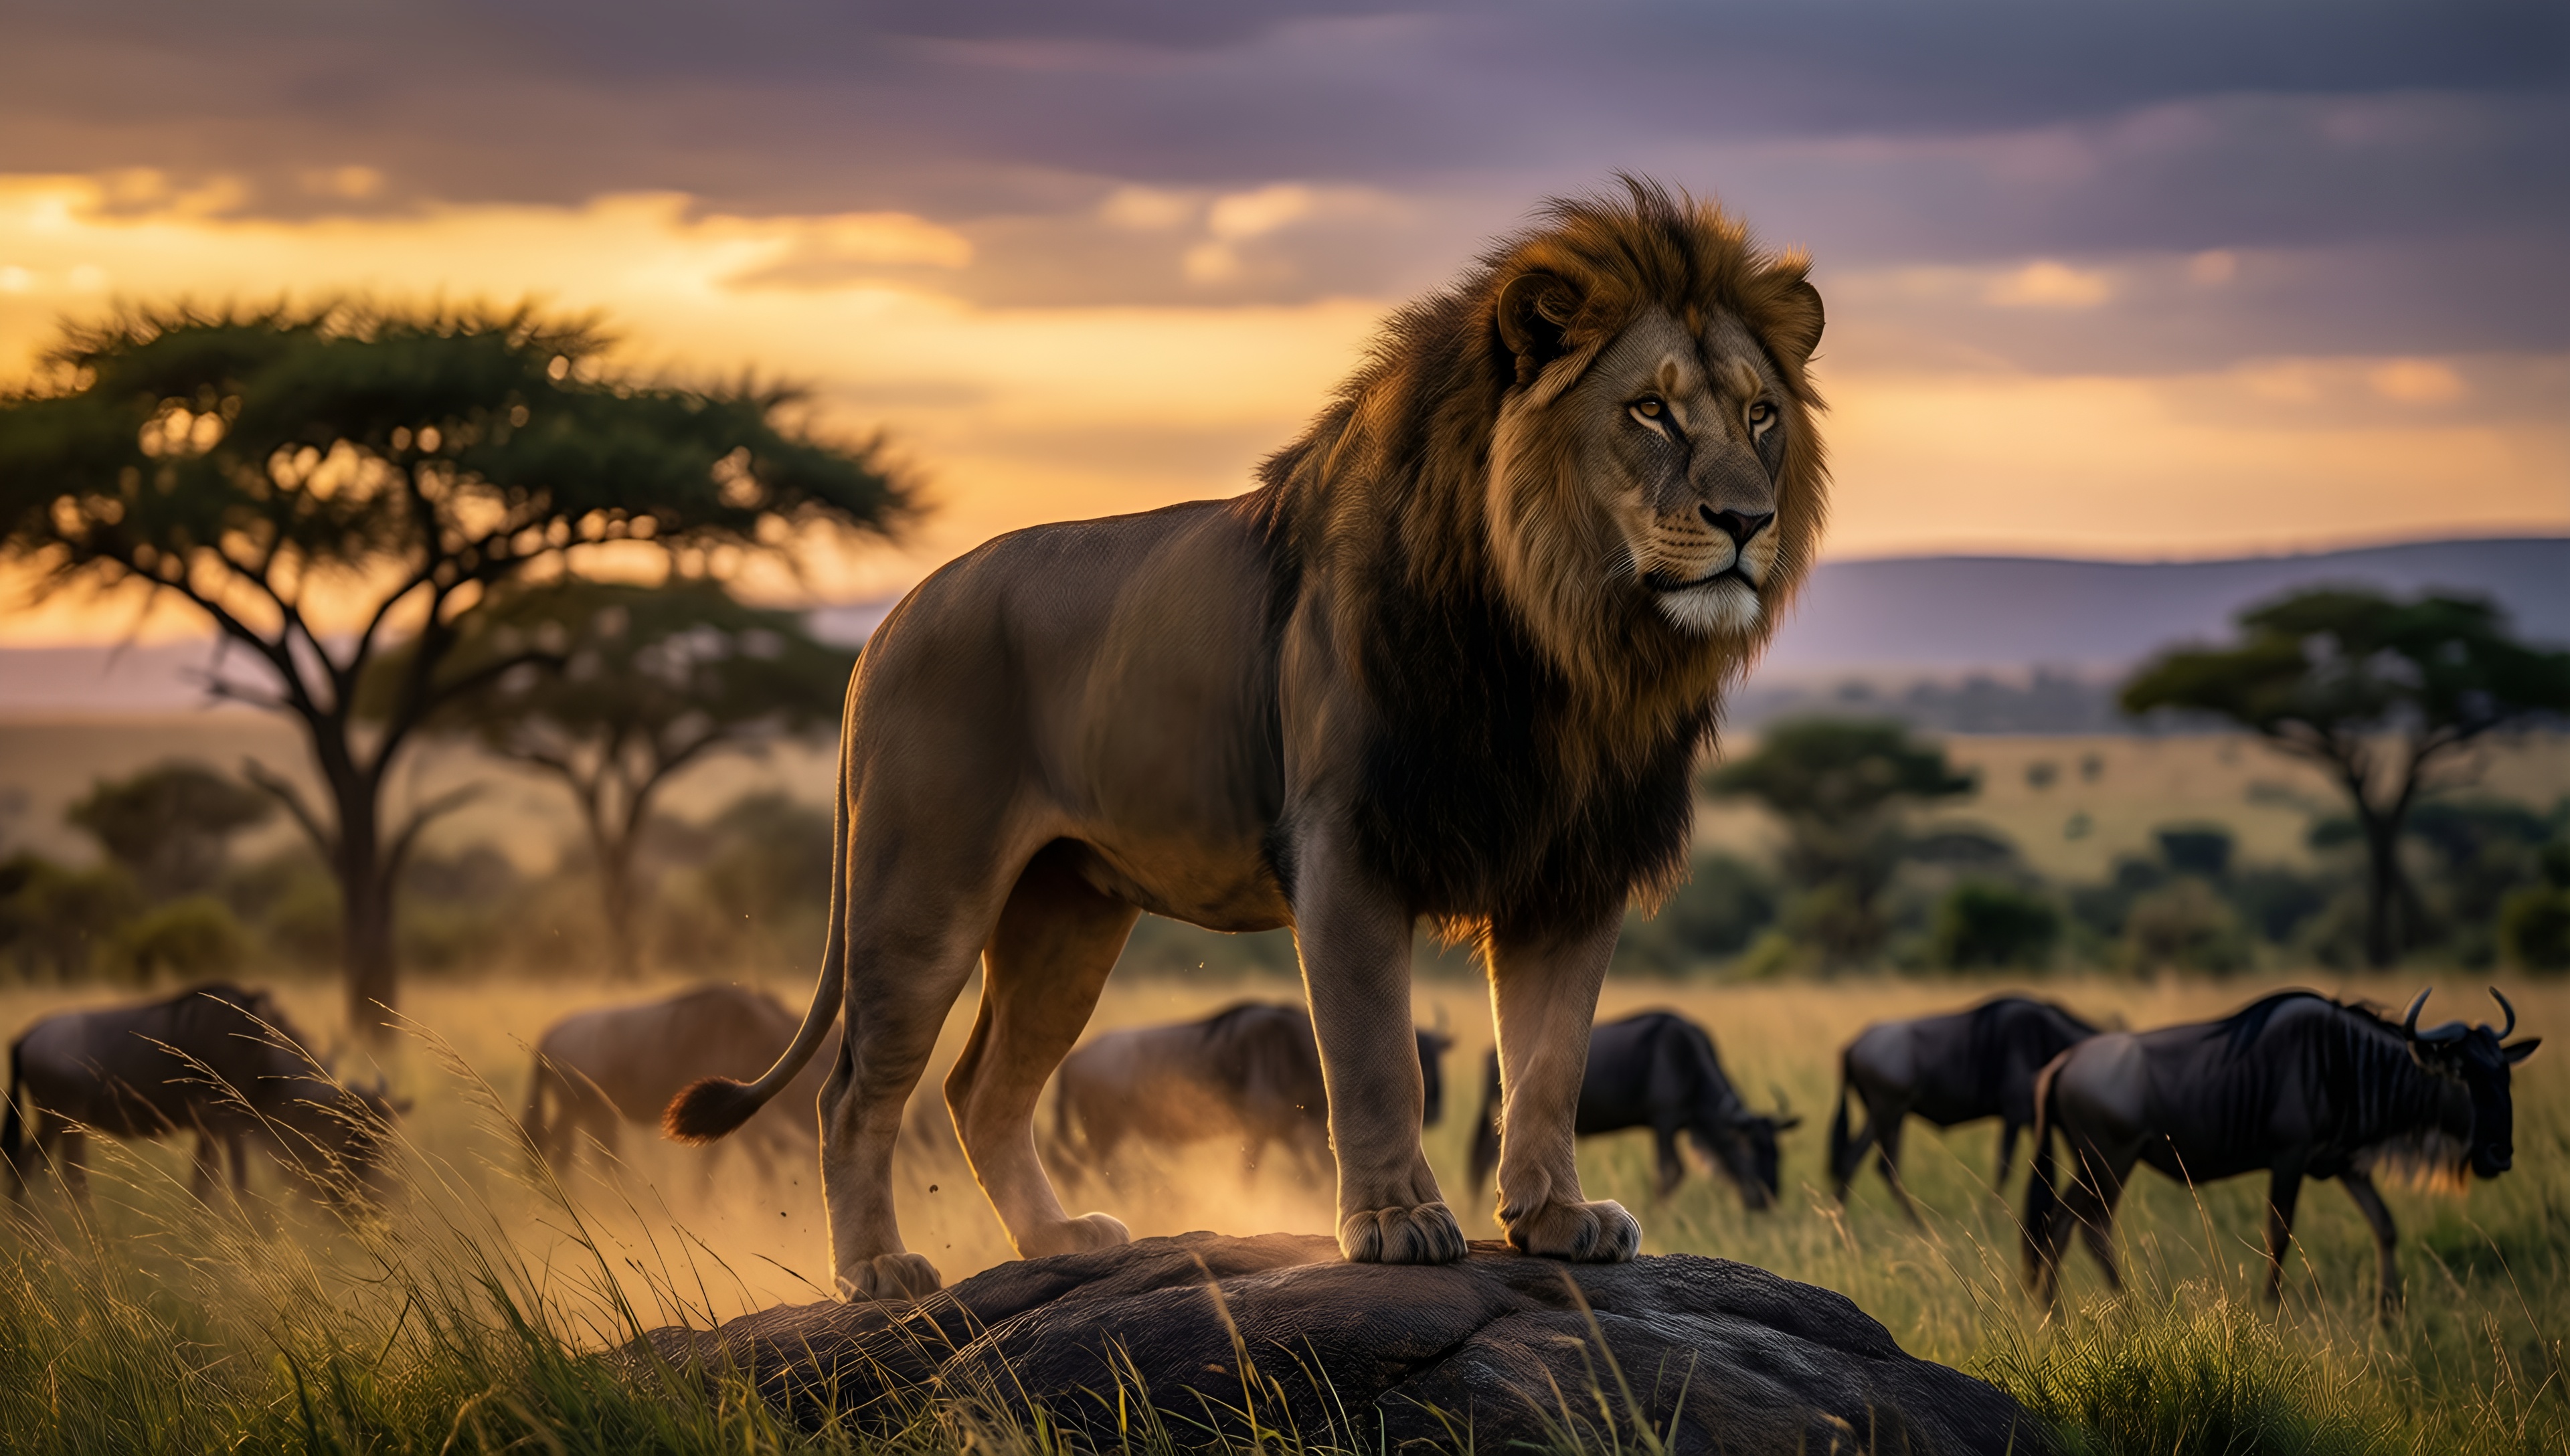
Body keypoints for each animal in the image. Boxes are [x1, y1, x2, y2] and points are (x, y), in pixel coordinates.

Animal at [666, 177, 1828, 1301]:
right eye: (1650, 411)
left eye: (1761, 415)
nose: (1747, 521)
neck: (1565, 648)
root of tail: (891, 619)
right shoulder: (1347, 846)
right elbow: (1377, 1057)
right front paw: (1395, 1224)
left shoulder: (1574, 872)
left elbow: (1549, 1067)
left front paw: (1556, 1221)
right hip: (922, 890)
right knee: (857, 1089)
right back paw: (877, 1271)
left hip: (1066, 914)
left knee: (980, 1087)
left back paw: (1058, 1241)